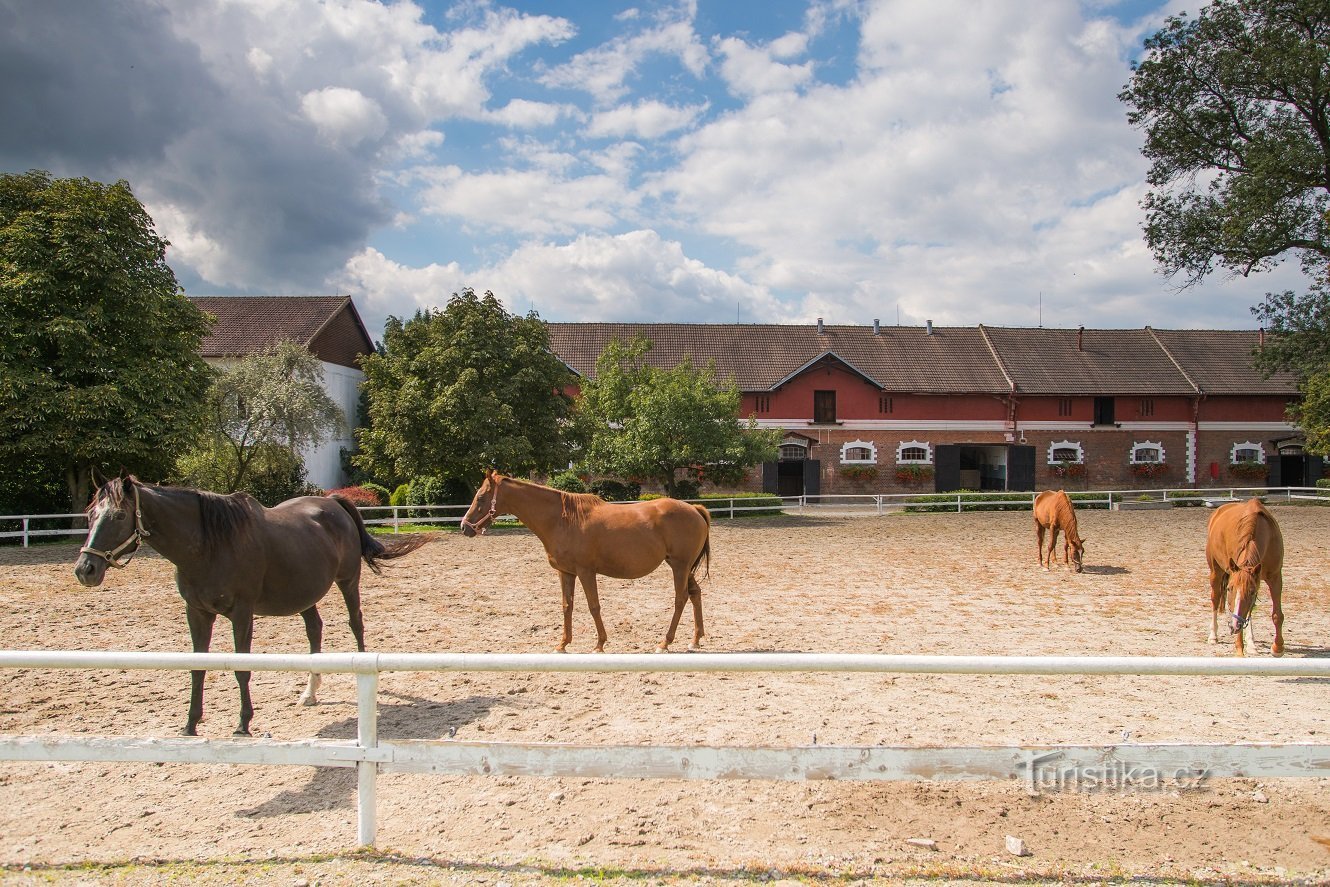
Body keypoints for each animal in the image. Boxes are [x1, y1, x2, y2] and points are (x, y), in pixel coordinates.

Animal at [72, 478, 428, 734]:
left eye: (119, 515)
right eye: (91, 515)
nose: (85, 569)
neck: (209, 546)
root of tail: (332, 502)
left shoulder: (241, 615)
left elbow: (242, 669)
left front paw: (243, 724)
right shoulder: (197, 613)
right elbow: (197, 667)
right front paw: (190, 724)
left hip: (348, 581)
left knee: (356, 624)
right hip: (305, 593)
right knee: (315, 630)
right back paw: (310, 692)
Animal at [465, 470, 718, 651]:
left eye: (481, 497)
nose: (465, 527)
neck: (562, 519)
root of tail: (695, 509)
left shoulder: (586, 572)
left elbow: (593, 606)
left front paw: (599, 644)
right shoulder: (566, 572)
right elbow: (567, 606)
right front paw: (562, 644)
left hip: (680, 566)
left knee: (681, 598)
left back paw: (664, 642)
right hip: (683, 566)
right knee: (695, 594)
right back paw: (695, 640)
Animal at [1202, 500, 1282, 659]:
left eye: (1251, 592)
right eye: (1229, 588)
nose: (1234, 626)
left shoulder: (1275, 577)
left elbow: (1277, 615)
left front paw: (1277, 648)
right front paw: (1239, 648)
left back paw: (1251, 643)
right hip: (1215, 572)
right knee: (1215, 599)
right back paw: (1213, 636)